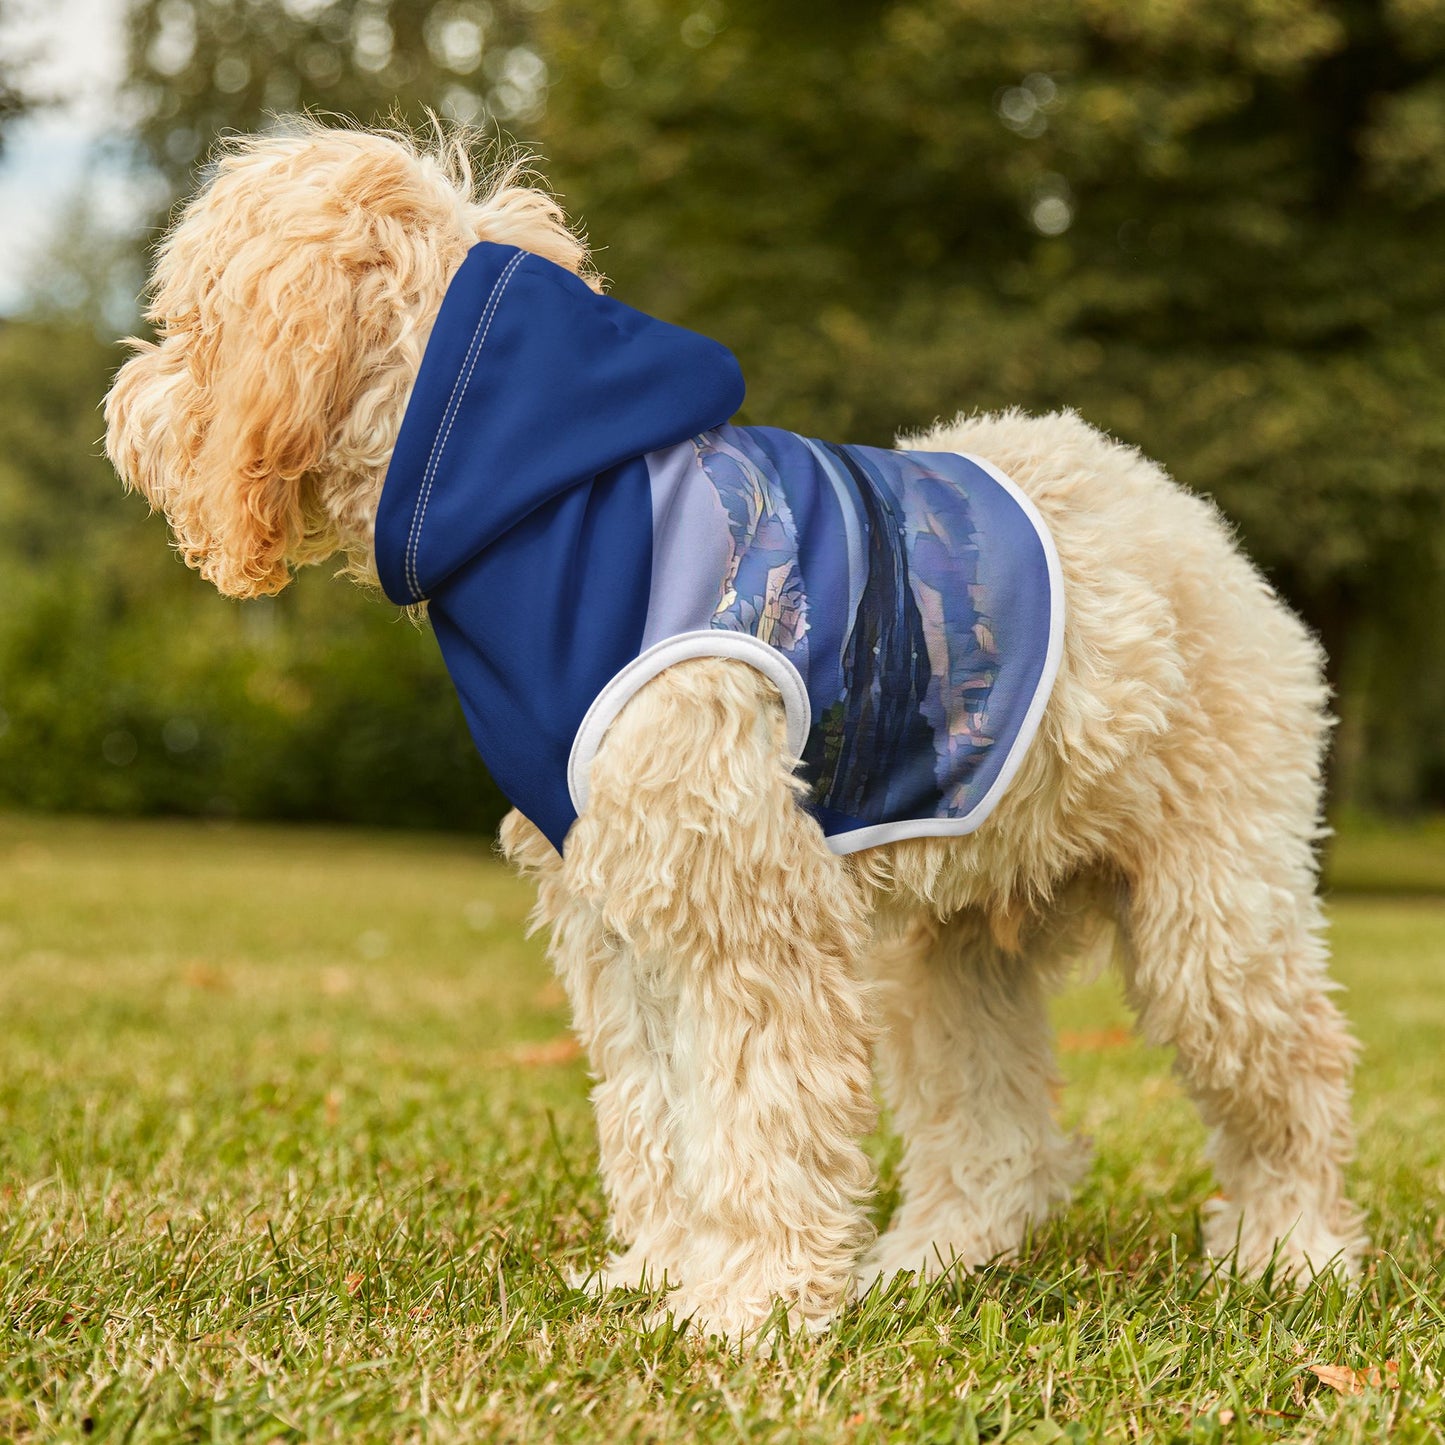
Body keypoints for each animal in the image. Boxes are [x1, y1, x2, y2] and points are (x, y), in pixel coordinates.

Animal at [104, 127, 1364, 1340]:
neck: (547, 499)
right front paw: (662, 1271)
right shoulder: (618, 907)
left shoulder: (744, 902)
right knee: (995, 1133)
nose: (123, 406)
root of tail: (1187, 518)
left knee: (1293, 1075)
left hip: (1213, 914)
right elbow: (657, 1111)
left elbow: (760, 1110)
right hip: (950, 947)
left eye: (191, 320)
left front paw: (748, 1303)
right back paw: (930, 1259)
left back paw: (1290, 1250)